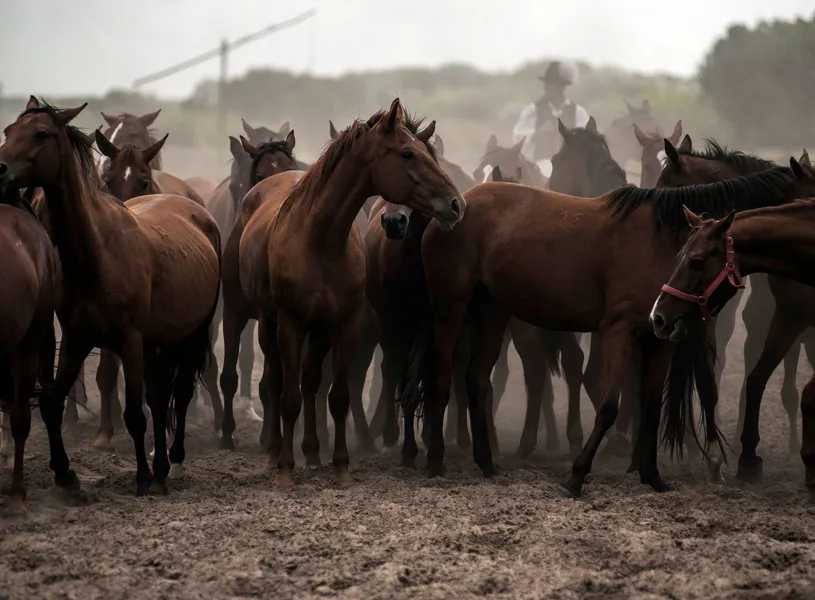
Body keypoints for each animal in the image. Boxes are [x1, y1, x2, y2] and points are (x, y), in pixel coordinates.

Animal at [0, 97, 221, 496]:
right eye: (9, 130)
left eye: (40, 134)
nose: (0, 168)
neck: (97, 253)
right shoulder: (77, 338)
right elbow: (53, 403)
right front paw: (65, 474)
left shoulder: (129, 341)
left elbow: (134, 413)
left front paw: (143, 478)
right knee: (159, 395)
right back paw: (162, 464)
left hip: (193, 332)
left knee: (180, 392)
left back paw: (174, 462)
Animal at [237, 99, 464, 485]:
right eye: (407, 153)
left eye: (428, 153)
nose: (455, 204)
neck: (320, 239)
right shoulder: (291, 324)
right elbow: (288, 398)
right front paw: (285, 469)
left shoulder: (343, 326)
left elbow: (339, 395)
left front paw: (341, 467)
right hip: (269, 326)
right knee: (277, 381)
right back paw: (274, 453)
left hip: (319, 332)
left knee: (311, 381)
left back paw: (313, 453)